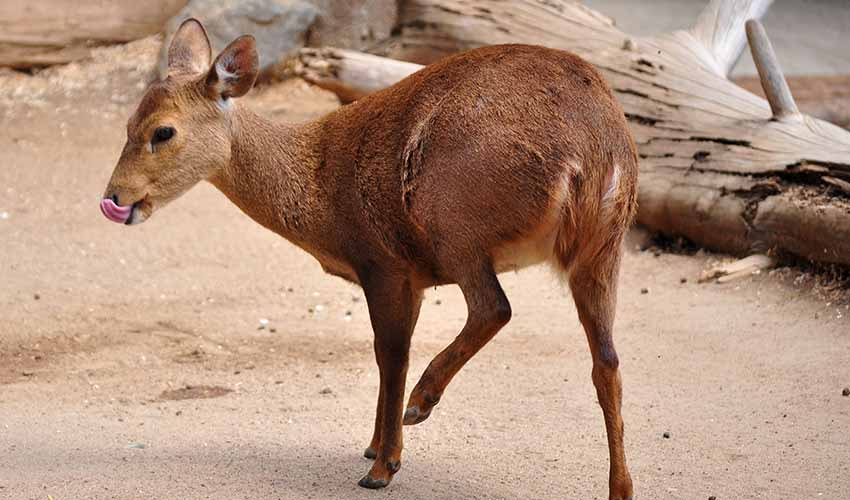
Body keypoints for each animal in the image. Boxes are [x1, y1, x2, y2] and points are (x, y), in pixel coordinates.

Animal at [101, 18, 638, 500]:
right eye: (126, 124)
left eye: (163, 132)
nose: (114, 197)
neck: (319, 192)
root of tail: (594, 154)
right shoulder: (413, 280)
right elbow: (390, 354)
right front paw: (374, 447)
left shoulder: (383, 263)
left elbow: (390, 353)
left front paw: (382, 465)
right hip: (602, 248)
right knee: (607, 360)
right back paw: (620, 488)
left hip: (456, 224)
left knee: (495, 308)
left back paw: (421, 403)